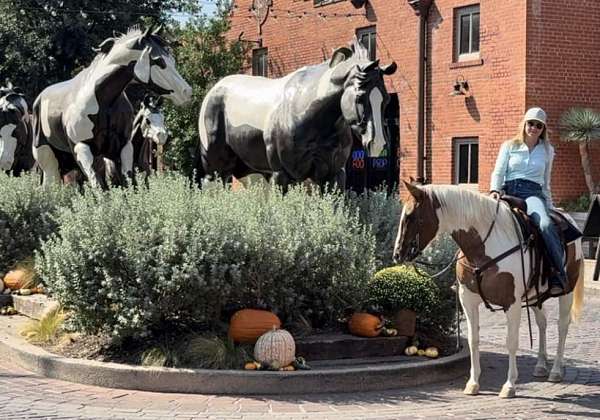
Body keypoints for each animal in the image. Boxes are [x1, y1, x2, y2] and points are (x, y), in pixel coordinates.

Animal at [32, 27, 190, 188]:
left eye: (172, 60)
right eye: (159, 61)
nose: (186, 92)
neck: (104, 102)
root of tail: (39, 99)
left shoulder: (122, 148)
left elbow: (129, 185)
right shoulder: (82, 148)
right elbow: (100, 188)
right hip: (49, 163)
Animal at [195, 37, 396, 190]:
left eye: (386, 100)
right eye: (360, 97)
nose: (378, 144)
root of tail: (213, 91)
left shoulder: (333, 175)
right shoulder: (282, 175)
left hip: (251, 174)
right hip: (217, 170)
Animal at [392, 183, 584, 398]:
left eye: (410, 216)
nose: (397, 254)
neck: (484, 249)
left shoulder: (512, 303)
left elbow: (511, 341)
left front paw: (509, 385)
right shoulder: (468, 300)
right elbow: (473, 340)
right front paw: (473, 383)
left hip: (567, 291)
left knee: (562, 326)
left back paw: (556, 371)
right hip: (535, 296)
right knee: (542, 323)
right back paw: (541, 366)